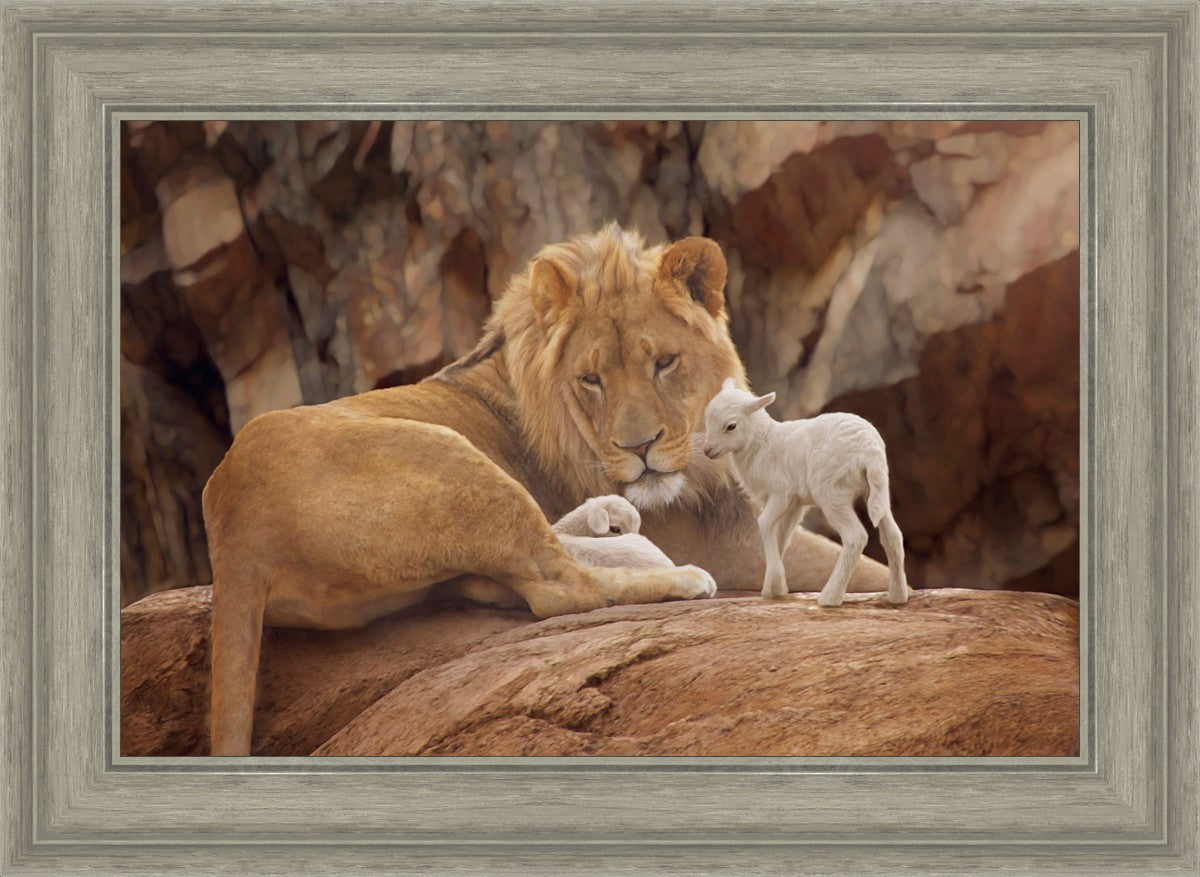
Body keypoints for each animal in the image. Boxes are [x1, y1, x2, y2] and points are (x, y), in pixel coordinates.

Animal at [701, 379, 909, 607]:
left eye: (731, 426)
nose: (707, 450)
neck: (763, 443)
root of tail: (870, 450)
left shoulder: (781, 493)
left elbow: (764, 523)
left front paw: (775, 582)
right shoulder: (795, 503)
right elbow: (782, 536)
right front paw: (774, 587)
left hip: (831, 491)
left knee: (856, 536)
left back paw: (830, 597)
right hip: (877, 489)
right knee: (893, 535)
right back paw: (898, 595)